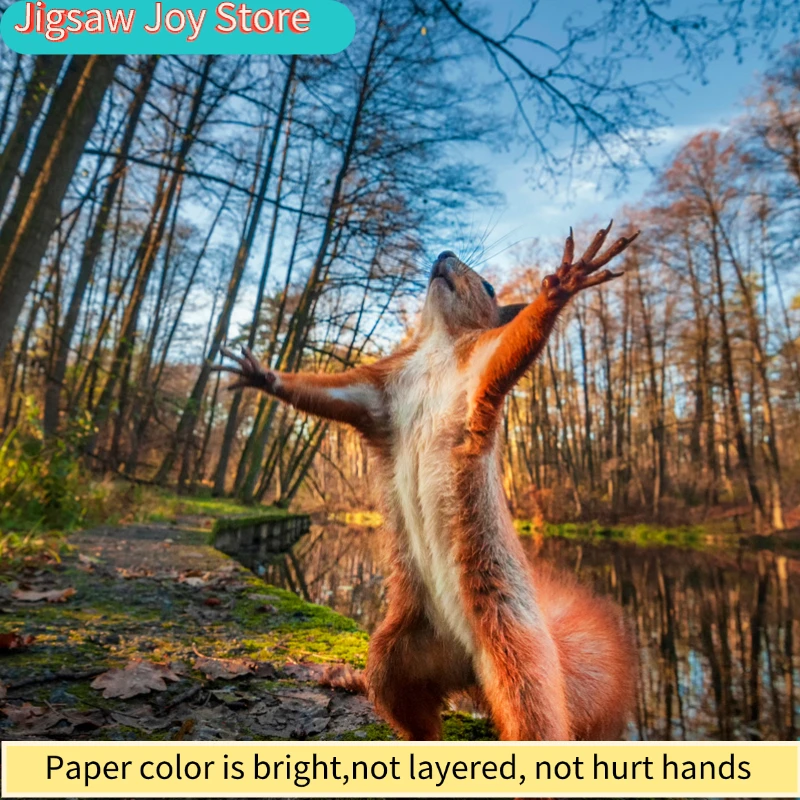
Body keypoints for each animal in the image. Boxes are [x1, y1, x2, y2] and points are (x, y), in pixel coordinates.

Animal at [215, 222, 639, 742]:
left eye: (490, 287)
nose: (444, 253)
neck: (437, 345)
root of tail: (469, 667)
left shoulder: (481, 369)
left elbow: (518, 342)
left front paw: (564, 283)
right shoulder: (377, 394)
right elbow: (323, 394)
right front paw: (262, 375)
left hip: (520, 660)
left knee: (533, 719)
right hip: (397, 654)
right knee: (412, 710)